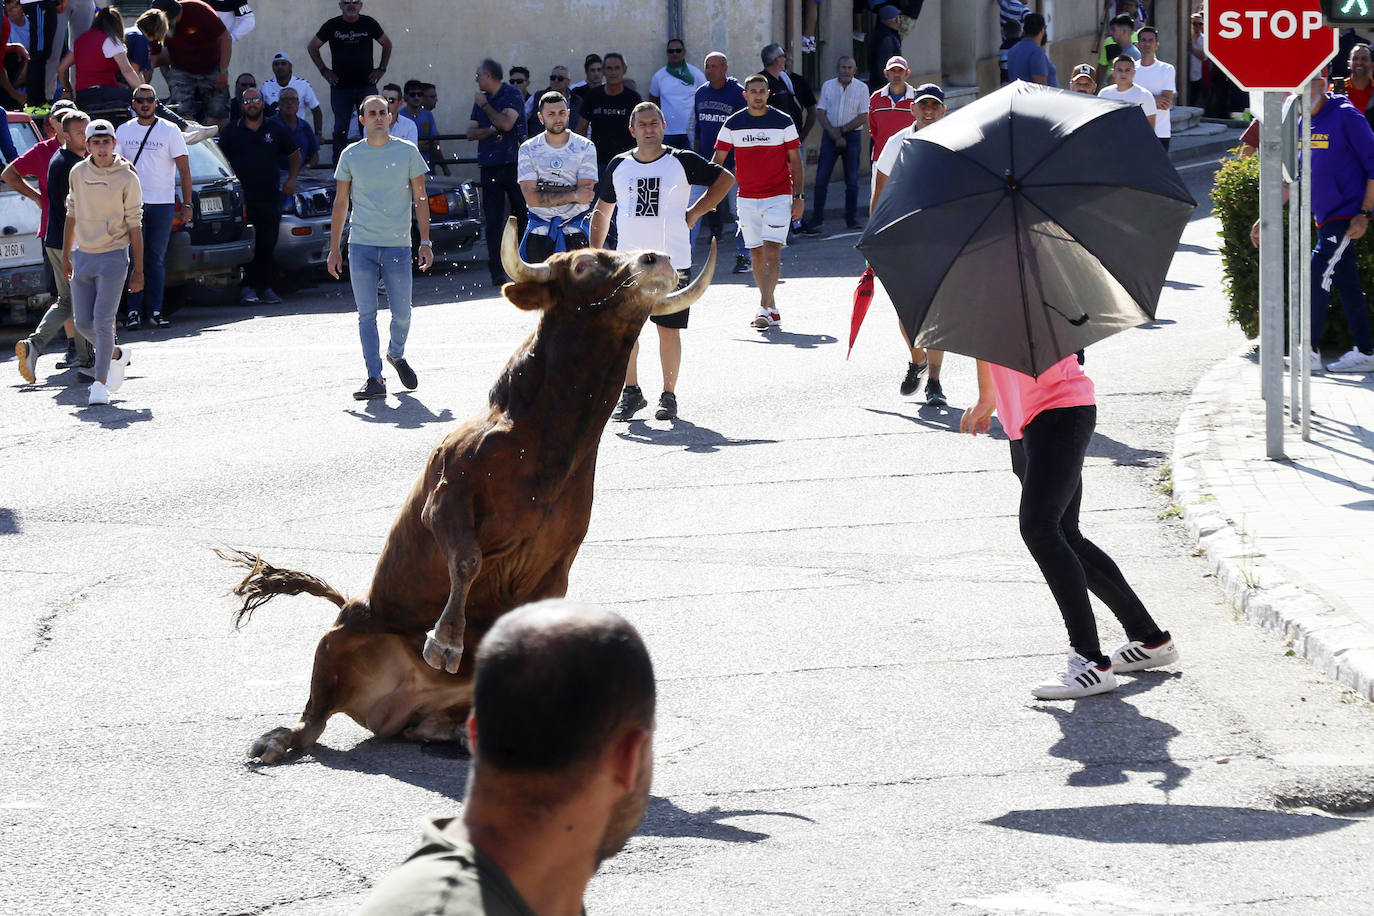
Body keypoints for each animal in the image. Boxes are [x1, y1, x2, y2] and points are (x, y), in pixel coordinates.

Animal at [222, 218, 719, 763]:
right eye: (585, 262)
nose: (657, 259)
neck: (544, 439)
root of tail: (395, 707)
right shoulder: (446, 500)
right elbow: (466, 559)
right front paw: (444, 642)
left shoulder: (561, 554)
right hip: (342, 635)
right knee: (313, 720)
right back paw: (277, 739)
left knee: (431, 725)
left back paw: (462, 734)